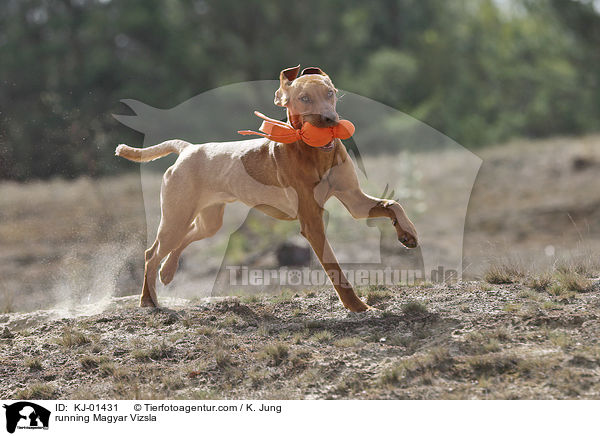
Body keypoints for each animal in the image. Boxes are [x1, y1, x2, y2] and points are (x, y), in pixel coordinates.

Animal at [116, 64, 418, 312]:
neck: (314, 153)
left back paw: (167, 272)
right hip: (176, 217)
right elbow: (335, 268)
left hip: (208, 221)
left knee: (183, 239)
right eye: (304, 98)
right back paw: (148, 299)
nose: (331, 120)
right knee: (151, 253)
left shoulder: (354, 201)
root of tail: (189, 148)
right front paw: (357, 306)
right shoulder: (312, 222)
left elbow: (393, 204)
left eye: (330, 93)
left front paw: (408, 233)